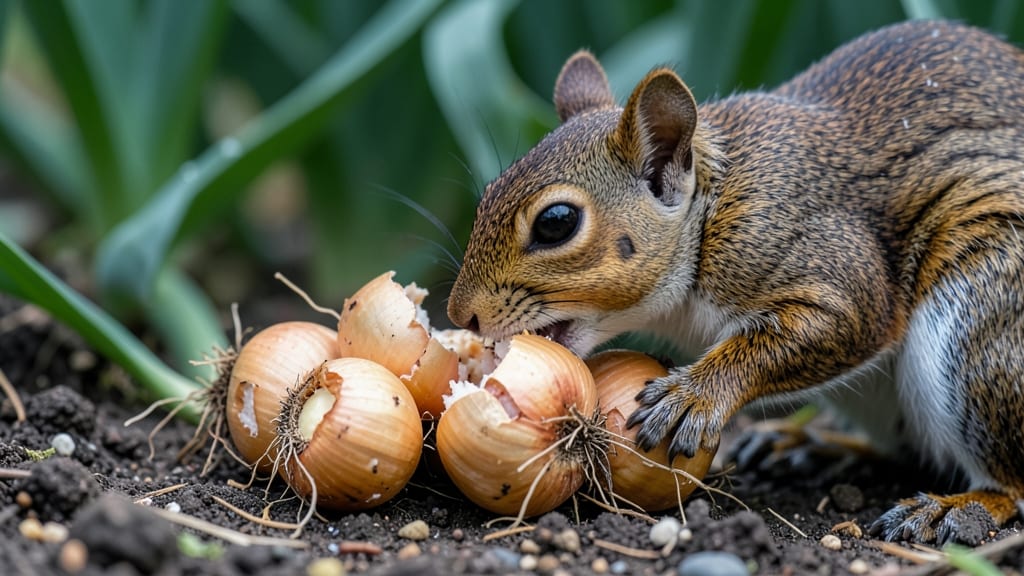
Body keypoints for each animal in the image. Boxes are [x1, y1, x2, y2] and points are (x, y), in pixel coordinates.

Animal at [446, 19, 1024, 545]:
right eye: (488, 193)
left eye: (557, 222)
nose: (460, 315)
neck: (711, 210)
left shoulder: (822, 256)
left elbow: (830, 322)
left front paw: (693, 397)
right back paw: (811, 446)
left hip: (979, 326)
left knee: (1010, 483)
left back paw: (957, 506)